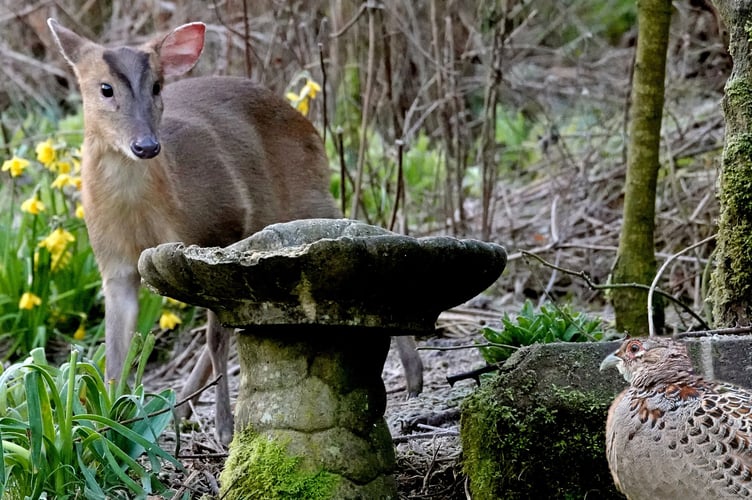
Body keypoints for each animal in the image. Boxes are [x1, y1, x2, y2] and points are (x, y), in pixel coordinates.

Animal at [47, 19, 424, 444]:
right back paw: (178, 409)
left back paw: (414, 375)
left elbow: (216, 339)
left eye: (157, 86)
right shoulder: (113, 264)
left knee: (362, 231)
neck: (144, 212)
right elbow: (115, 357)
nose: (146, 145)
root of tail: (304, 120)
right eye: (105, 88)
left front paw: (226, 428)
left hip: (303, 196)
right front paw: (106, 429)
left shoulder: (220, 230)